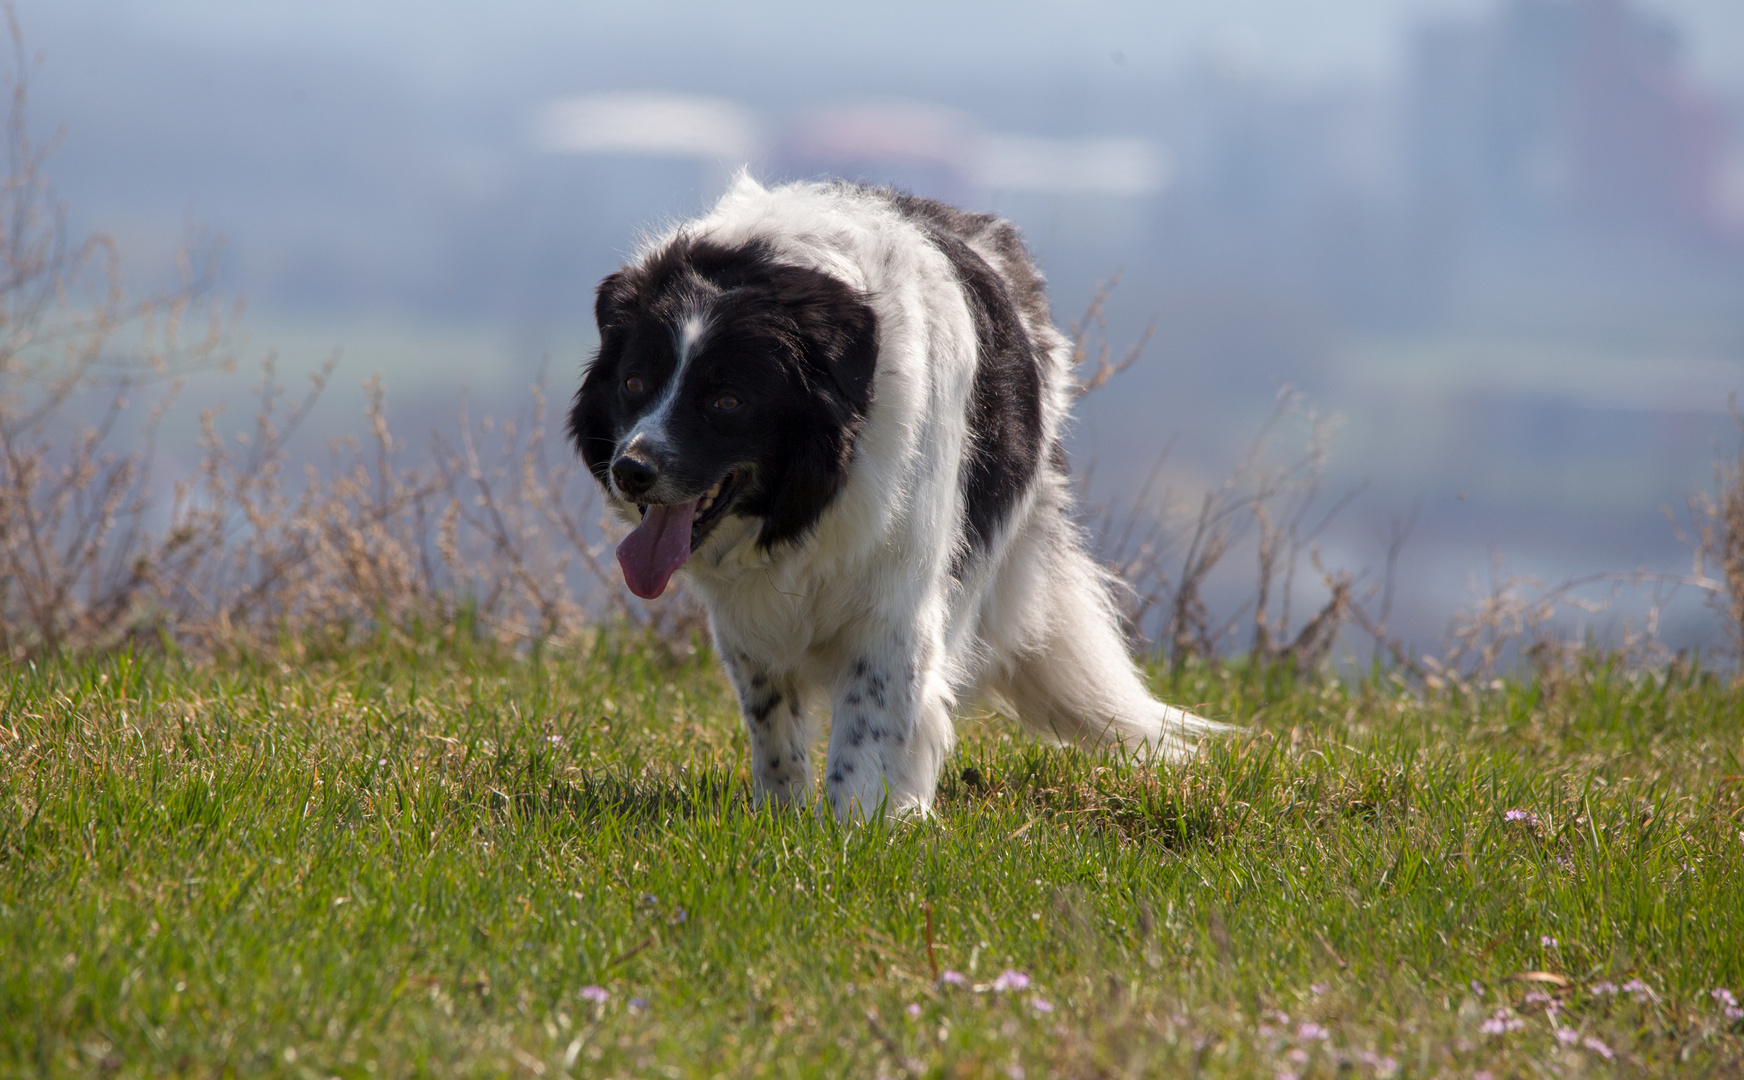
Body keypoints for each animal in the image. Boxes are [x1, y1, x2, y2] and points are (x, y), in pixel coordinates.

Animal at [565, 177, 1220, 820]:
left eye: (728, 401)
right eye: (634, 383)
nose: (630, 470)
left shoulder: (896, 602)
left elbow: (871, 725)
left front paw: (852, 829)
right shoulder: (747, 623)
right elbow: (771, 724)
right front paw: (781, 819)